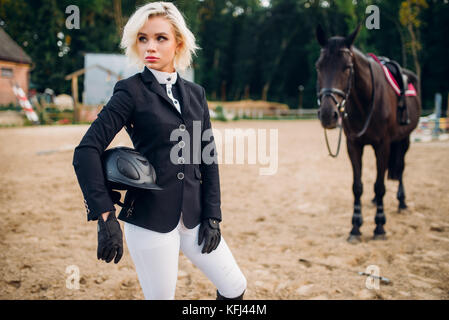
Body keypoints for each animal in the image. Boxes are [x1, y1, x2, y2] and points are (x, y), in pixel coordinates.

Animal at [316, 25, 420, 242]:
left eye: (347, 67)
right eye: (318, 66)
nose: (328, 114)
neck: (364, 102)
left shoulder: (383, 145)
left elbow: (380, 185)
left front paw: (379, 226)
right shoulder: (353, 145)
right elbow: (357, 186)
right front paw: (355, 227)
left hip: (404, 139)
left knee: (400, 167)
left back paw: (402, 203)